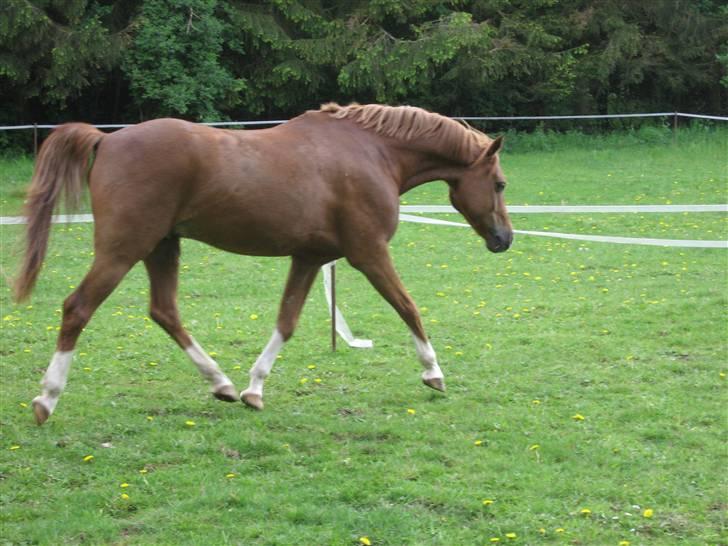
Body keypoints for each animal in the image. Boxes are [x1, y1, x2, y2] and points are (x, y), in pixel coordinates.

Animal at [12, 104, 512, 422]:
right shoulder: (369, 254)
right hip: (123, 249)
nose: (504, 239)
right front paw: (434, 373)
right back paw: (47, 400)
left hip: (161, 247)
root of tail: (107, 139)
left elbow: (286, 322)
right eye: (500, 184)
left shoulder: (310, 258)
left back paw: (221, 384)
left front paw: (254, 389)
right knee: (78, 308)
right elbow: (408, 306)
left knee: (164, 311)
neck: (373, 152)